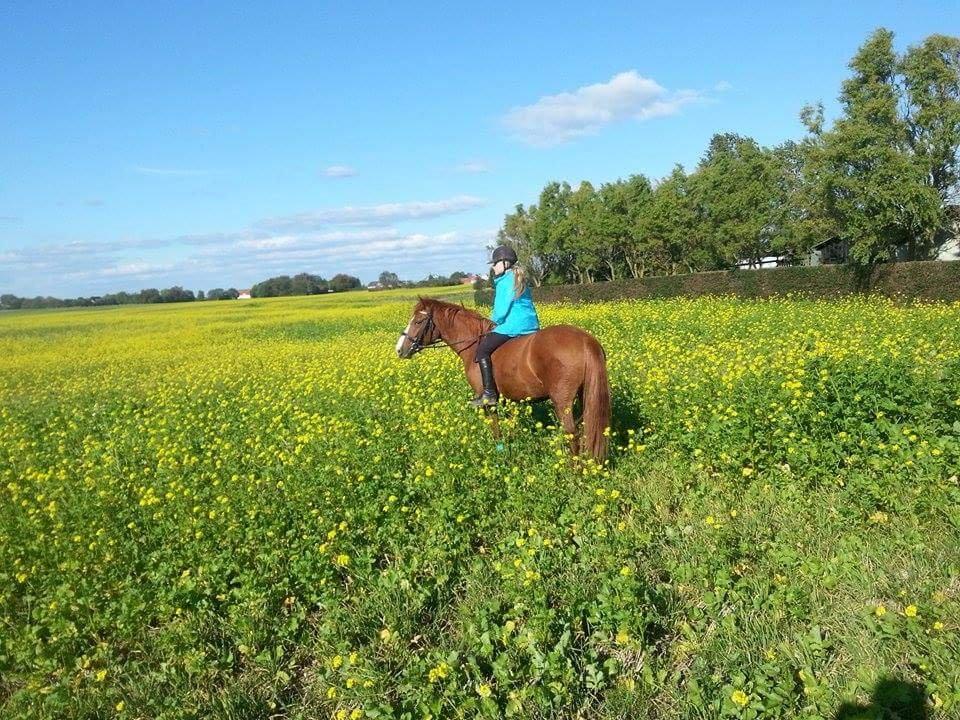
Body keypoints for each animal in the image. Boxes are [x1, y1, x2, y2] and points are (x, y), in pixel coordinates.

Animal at [396, 300, 608, 462]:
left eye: (418, 321)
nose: (399, 350)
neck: (473, 344)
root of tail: (585, 340)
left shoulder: (489, 402)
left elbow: (496, 428)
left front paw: (499, 452)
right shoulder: (511, 400)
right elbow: (511, 427)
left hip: (562, 401)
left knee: (572, 433)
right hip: (584, 395)